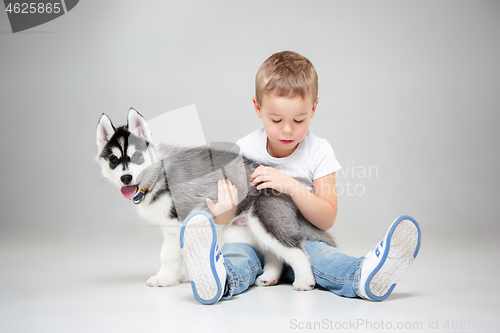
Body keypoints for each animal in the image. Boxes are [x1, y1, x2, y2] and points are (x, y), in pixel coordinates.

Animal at [95, 107, 338, 290]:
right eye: (113, 160)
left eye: (137, 156)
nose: (126, 178)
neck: (156, 175)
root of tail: (285, 181)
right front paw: (186, 276)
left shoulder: (176, 224)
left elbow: (169, 255)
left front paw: (164, 278)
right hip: (244, 229)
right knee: (275, 253)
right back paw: (270, 276)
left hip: (266, 218)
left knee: (297, 251)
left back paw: (305, 281)